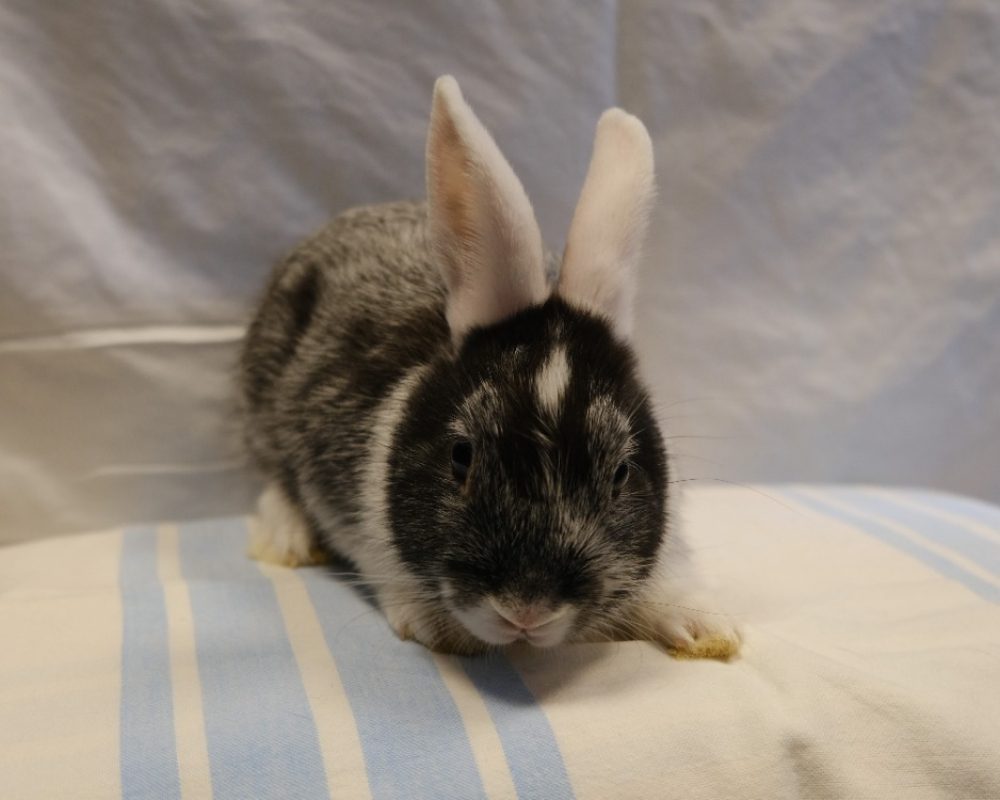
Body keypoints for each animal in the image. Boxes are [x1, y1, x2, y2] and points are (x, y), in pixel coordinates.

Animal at [238, 75, 741, 659]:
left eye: (620, 473)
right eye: (462, 455)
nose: (527, 610)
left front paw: (708, 630)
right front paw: (437, 629)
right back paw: (286, 539)